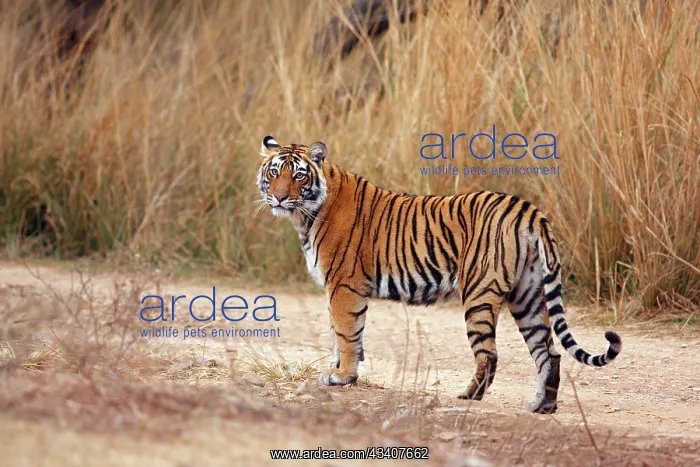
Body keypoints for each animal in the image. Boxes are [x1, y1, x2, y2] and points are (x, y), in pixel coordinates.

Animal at [256, 135, 622, 414]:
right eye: (274, 172)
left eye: (299, 176)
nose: (279, 197)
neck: (306, 215)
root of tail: (528, 209)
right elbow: (341, 335)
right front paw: (340, 373)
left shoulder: (344, 286)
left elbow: (346, 334)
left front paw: (342, 376)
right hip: (528, 296)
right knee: (549, 352)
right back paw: (542, 406)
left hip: (479, 293)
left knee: (490, 354)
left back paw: (469, 396)